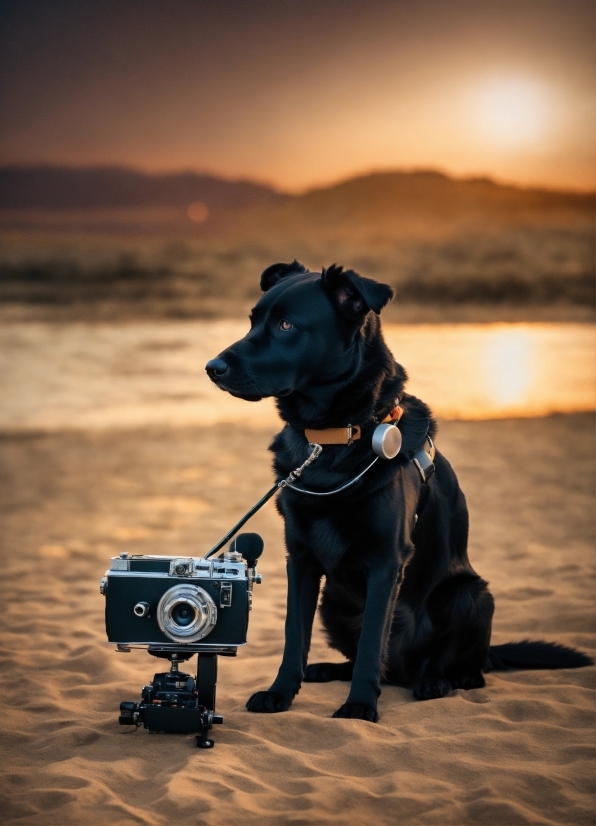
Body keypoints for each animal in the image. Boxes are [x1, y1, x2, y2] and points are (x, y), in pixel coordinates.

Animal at [207, 260, 588, 716]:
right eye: (252, 321)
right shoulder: (299, 559)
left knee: (455, 664)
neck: (331, 440)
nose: (211, 367)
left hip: (469, 596)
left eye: (285, 325)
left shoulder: (387, 563)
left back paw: (440, 680)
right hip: (334, 601)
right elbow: (293, 634)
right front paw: (281, 692)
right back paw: (329, 669)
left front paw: (358, 706)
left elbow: (373, 642)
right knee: (372, 661)